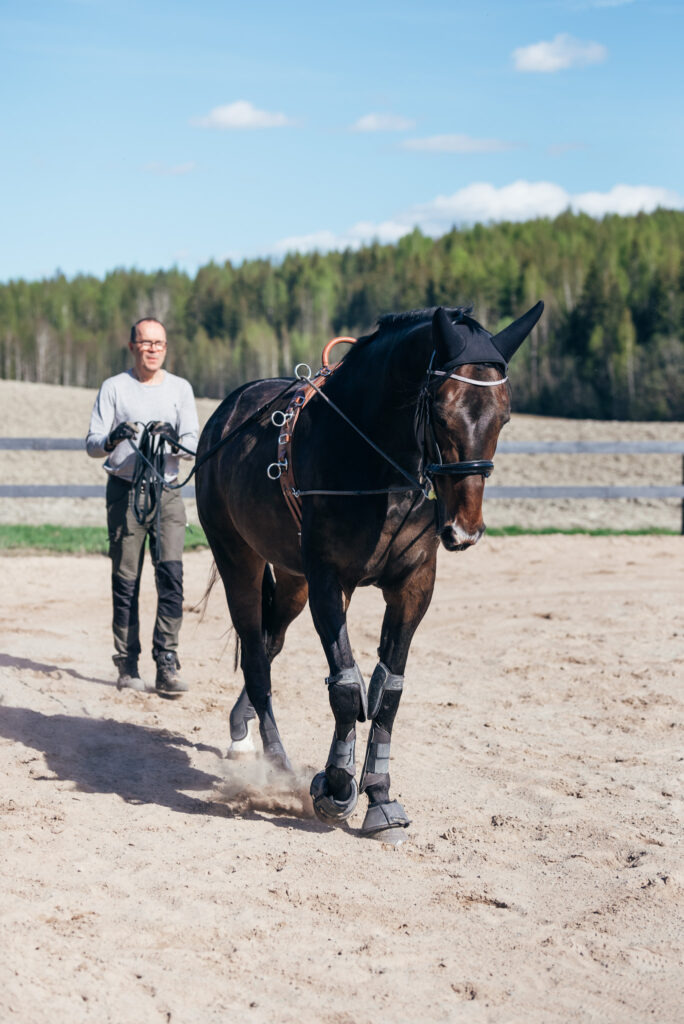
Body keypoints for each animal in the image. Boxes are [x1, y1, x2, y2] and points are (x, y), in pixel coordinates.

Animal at [194, 299, 540, 835]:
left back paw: (241, 727)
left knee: (270, 646)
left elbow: (387, 690)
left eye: (504, 415)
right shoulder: (329, 582)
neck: (379, 470)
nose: (465, 529)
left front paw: (380, 795)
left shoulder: (413, 585)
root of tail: (228, 412)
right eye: (440, 410)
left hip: (292, 580)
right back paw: (278, 762)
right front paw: (335, 786)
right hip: (239, 560)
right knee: (255, 658)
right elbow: (347, 686)